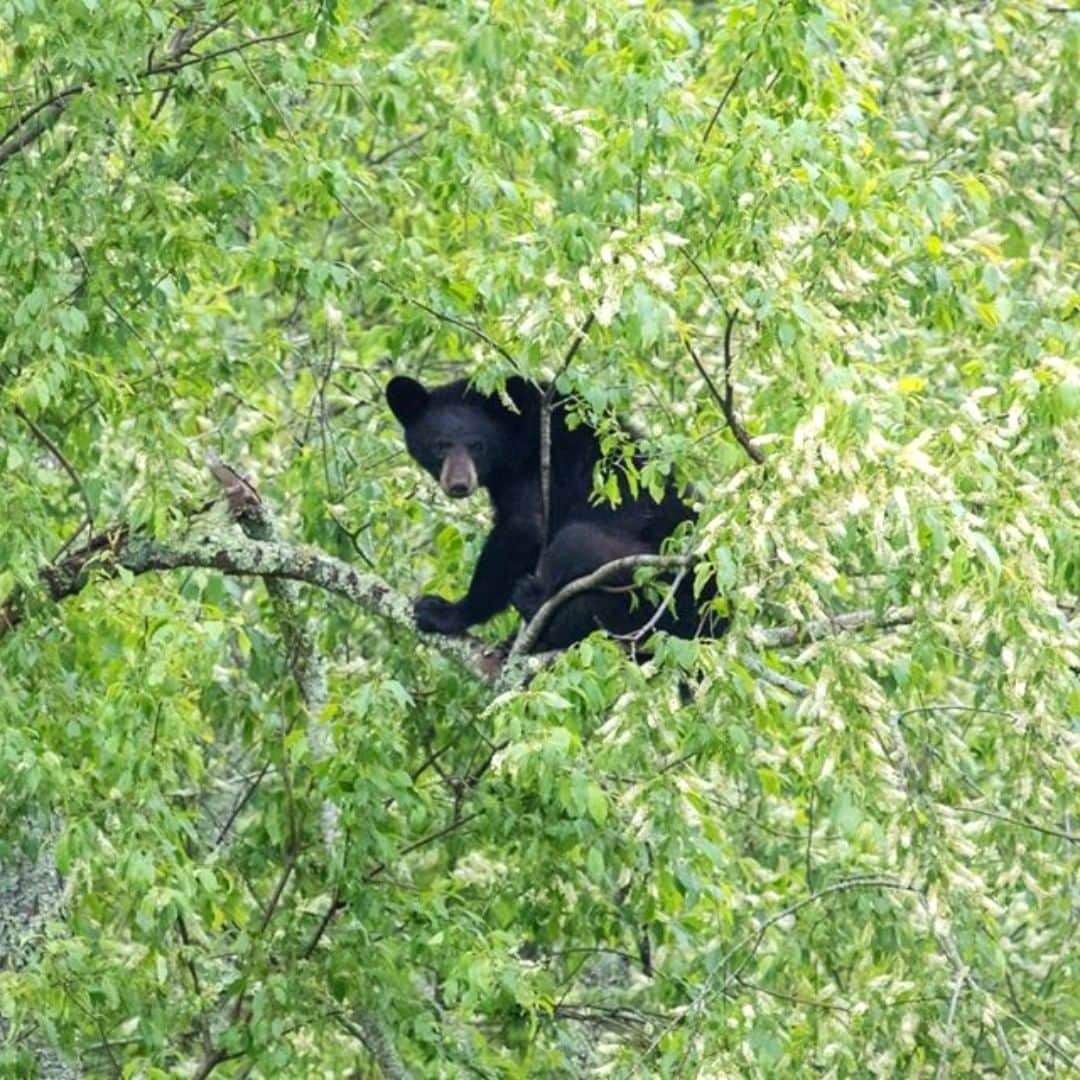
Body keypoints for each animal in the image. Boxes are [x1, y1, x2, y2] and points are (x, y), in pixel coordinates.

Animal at [384, 375, 721, 648]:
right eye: (440, 445)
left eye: (477, 445)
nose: (458, 484)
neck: (517, 434)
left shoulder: (534, 468)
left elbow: (523, 527)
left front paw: (447, 611)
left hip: (655, 578)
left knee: (575, 546)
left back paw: (533, 607)